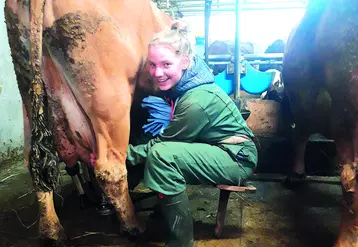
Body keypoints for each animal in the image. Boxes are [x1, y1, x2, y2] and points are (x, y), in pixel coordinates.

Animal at [4, 0, 172, 243]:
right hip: (110, 102)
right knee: (110, 167)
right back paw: (133, 226)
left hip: (28, 94)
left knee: (35, 164)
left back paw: (52, 232)